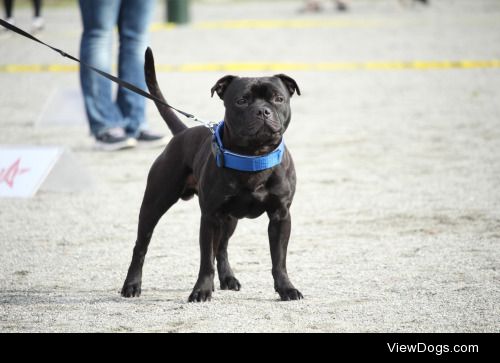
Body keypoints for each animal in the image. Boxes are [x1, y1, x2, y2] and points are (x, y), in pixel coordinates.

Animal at [122, 49, 300, 304]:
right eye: (241, 100)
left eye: (278, 98)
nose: (262, 111)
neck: (254, 156)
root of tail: (183, 132)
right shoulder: (209, 217)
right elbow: (206, 259)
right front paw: (201, 290)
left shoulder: (280, 216)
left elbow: (279, 260)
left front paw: (286, 288)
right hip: (154, 205)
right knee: (141, 245)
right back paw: (131, 285)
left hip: (230, 219)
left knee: (222, 248)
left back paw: (227, 279)